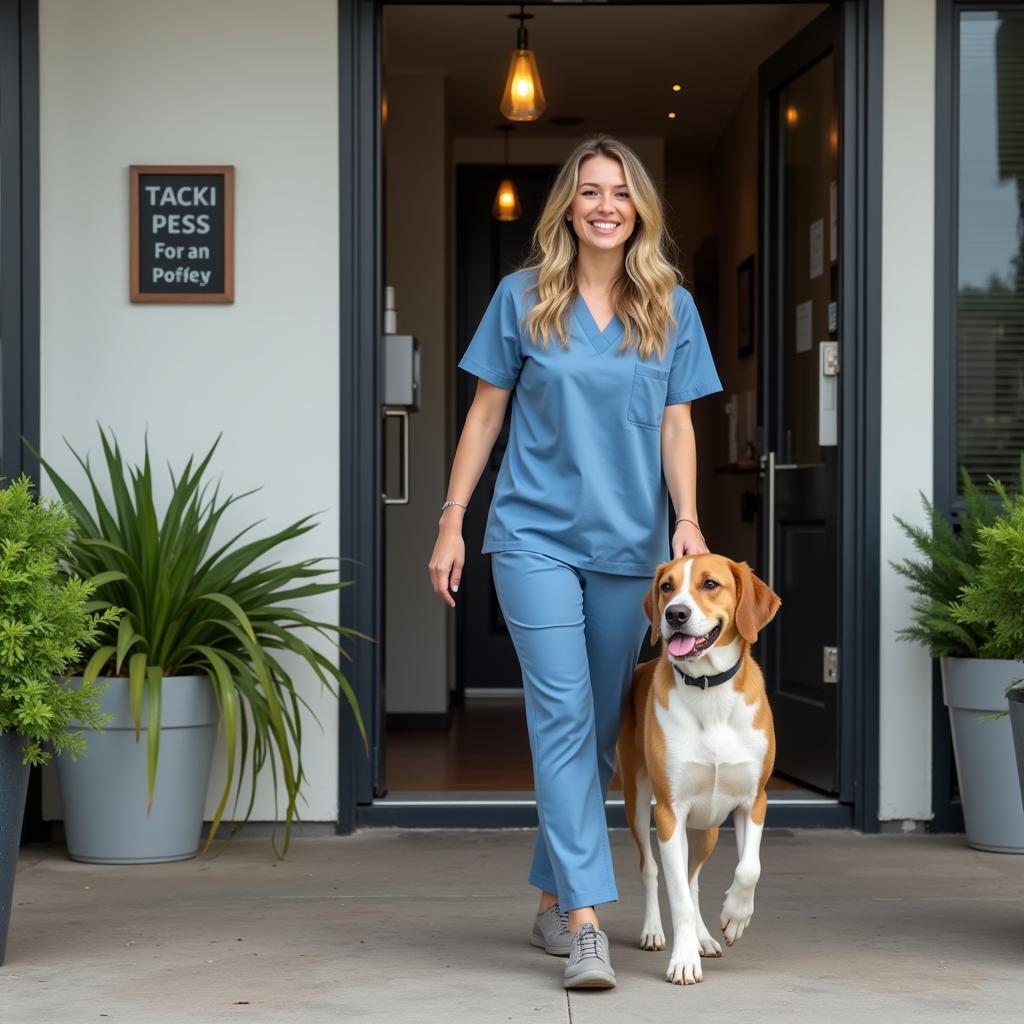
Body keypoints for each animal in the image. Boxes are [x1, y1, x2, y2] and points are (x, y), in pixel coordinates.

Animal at [614, 557, 782, 987]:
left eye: (710, 584)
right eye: (667, 587)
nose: (675, 614)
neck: (709, 689)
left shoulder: (754, 801)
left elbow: (749, 868)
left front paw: (735, 916)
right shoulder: (669, 813)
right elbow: (677, 899)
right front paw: (684, 960)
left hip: (708, 828)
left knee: (692, 878)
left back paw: (706, 936)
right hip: (638, 804)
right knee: (652, 870)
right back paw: (655, 931)